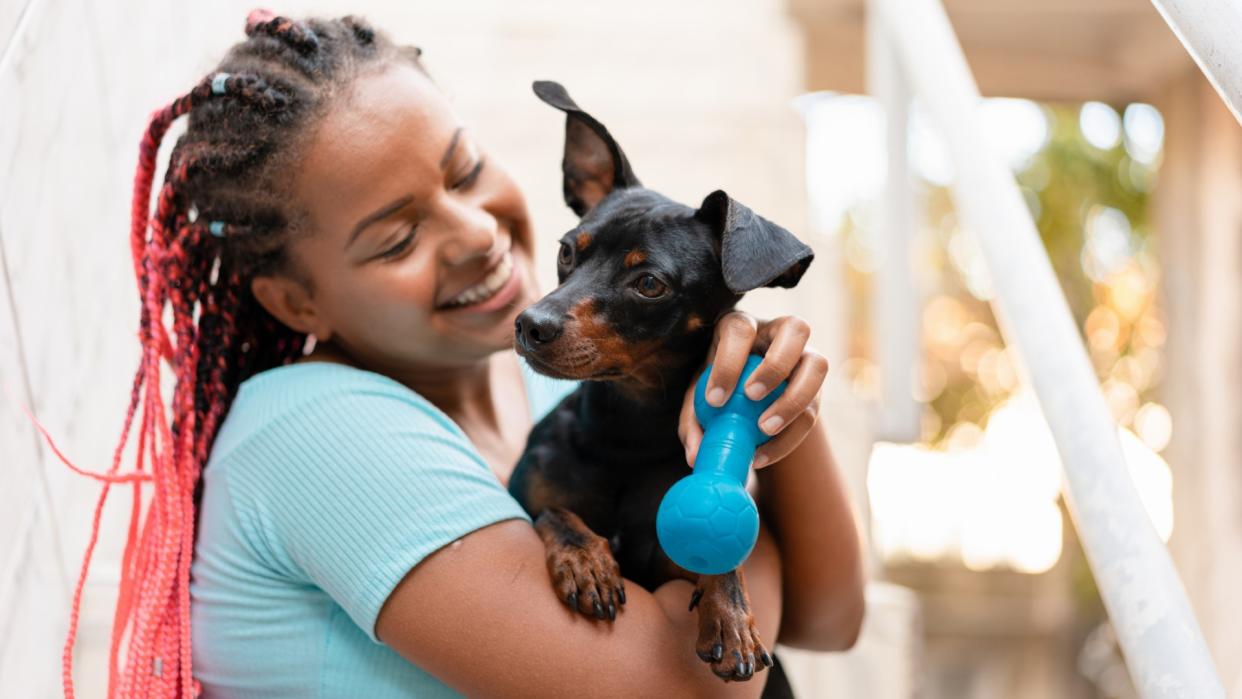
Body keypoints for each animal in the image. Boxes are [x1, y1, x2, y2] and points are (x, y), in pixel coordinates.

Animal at [506, 81, 809, 690]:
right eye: (566, 251)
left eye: (649, 283)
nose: (530, 325)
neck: (627, 427)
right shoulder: (524, 494)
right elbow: (557, 514)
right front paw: (587, 559)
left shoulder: (669, 559)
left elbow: (723, 562)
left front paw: (732, 618)